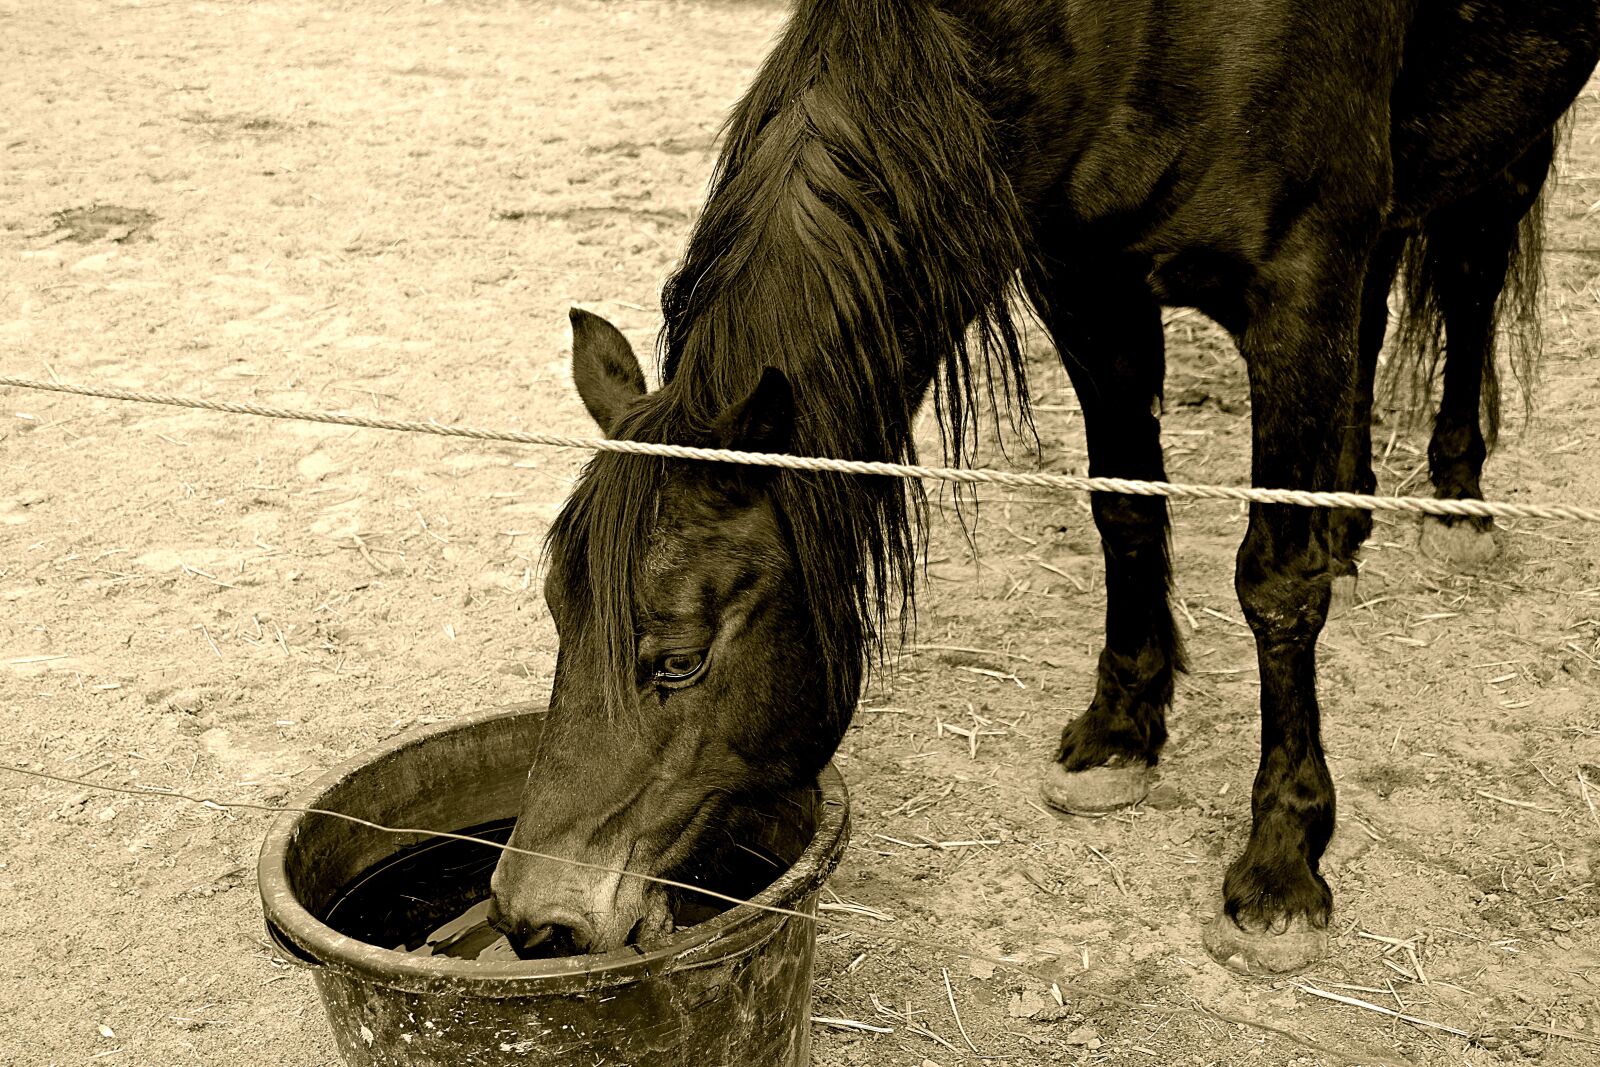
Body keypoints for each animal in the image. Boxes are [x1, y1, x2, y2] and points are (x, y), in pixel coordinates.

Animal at [488, 0, 1600, 974]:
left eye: (678, 660)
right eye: (555, 614)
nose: (535, 916)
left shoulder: (1294, 288)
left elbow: (1275, 584)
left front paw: (1281, 865)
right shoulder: (1087, 286)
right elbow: (1124, 511)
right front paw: (1119, 733)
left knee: (1471, 265)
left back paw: (1457, 508)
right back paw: (1354, 517)